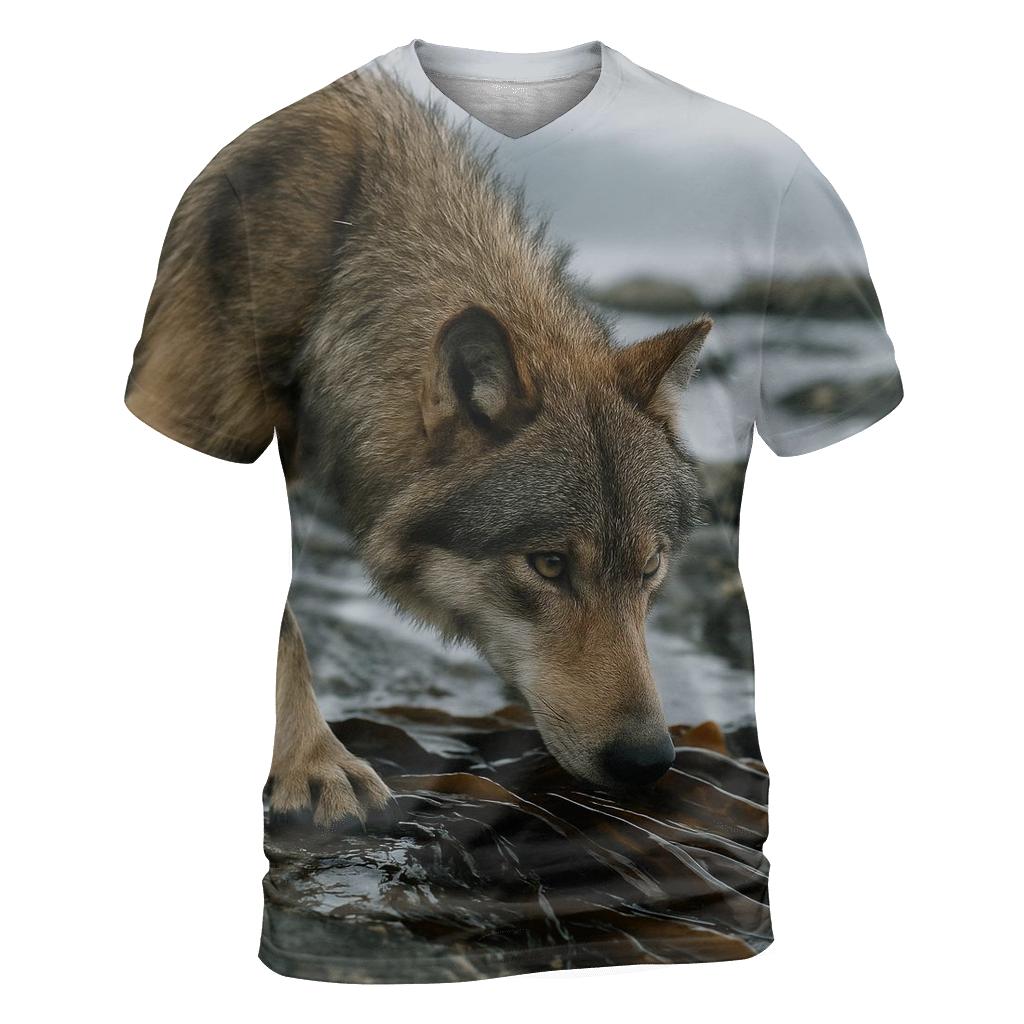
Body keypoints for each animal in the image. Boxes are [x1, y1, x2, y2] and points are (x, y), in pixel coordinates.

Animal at [126, 70, 712, 826]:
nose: (648, 762)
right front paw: (315, 765)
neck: (334, 262)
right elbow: (285, 631)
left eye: (650, 568)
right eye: (549, 565)